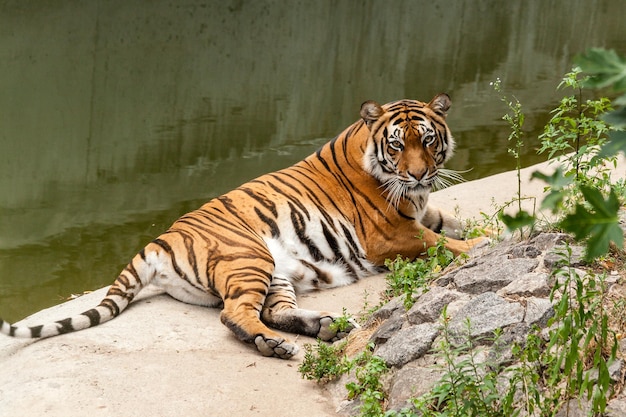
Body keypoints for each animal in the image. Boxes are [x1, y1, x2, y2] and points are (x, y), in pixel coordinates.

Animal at [0, 94, 482, 358]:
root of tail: (156, 241)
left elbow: (447, 222)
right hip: (250, 257)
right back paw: (277, 345)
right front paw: (484, 243)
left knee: (271, 310)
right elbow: (443, 242)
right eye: (398, 145)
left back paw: (321, 328)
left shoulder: (417, 212)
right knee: (236, 314)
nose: (419, 174)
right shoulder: (391, 233)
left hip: (278, 271)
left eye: (429, 140)